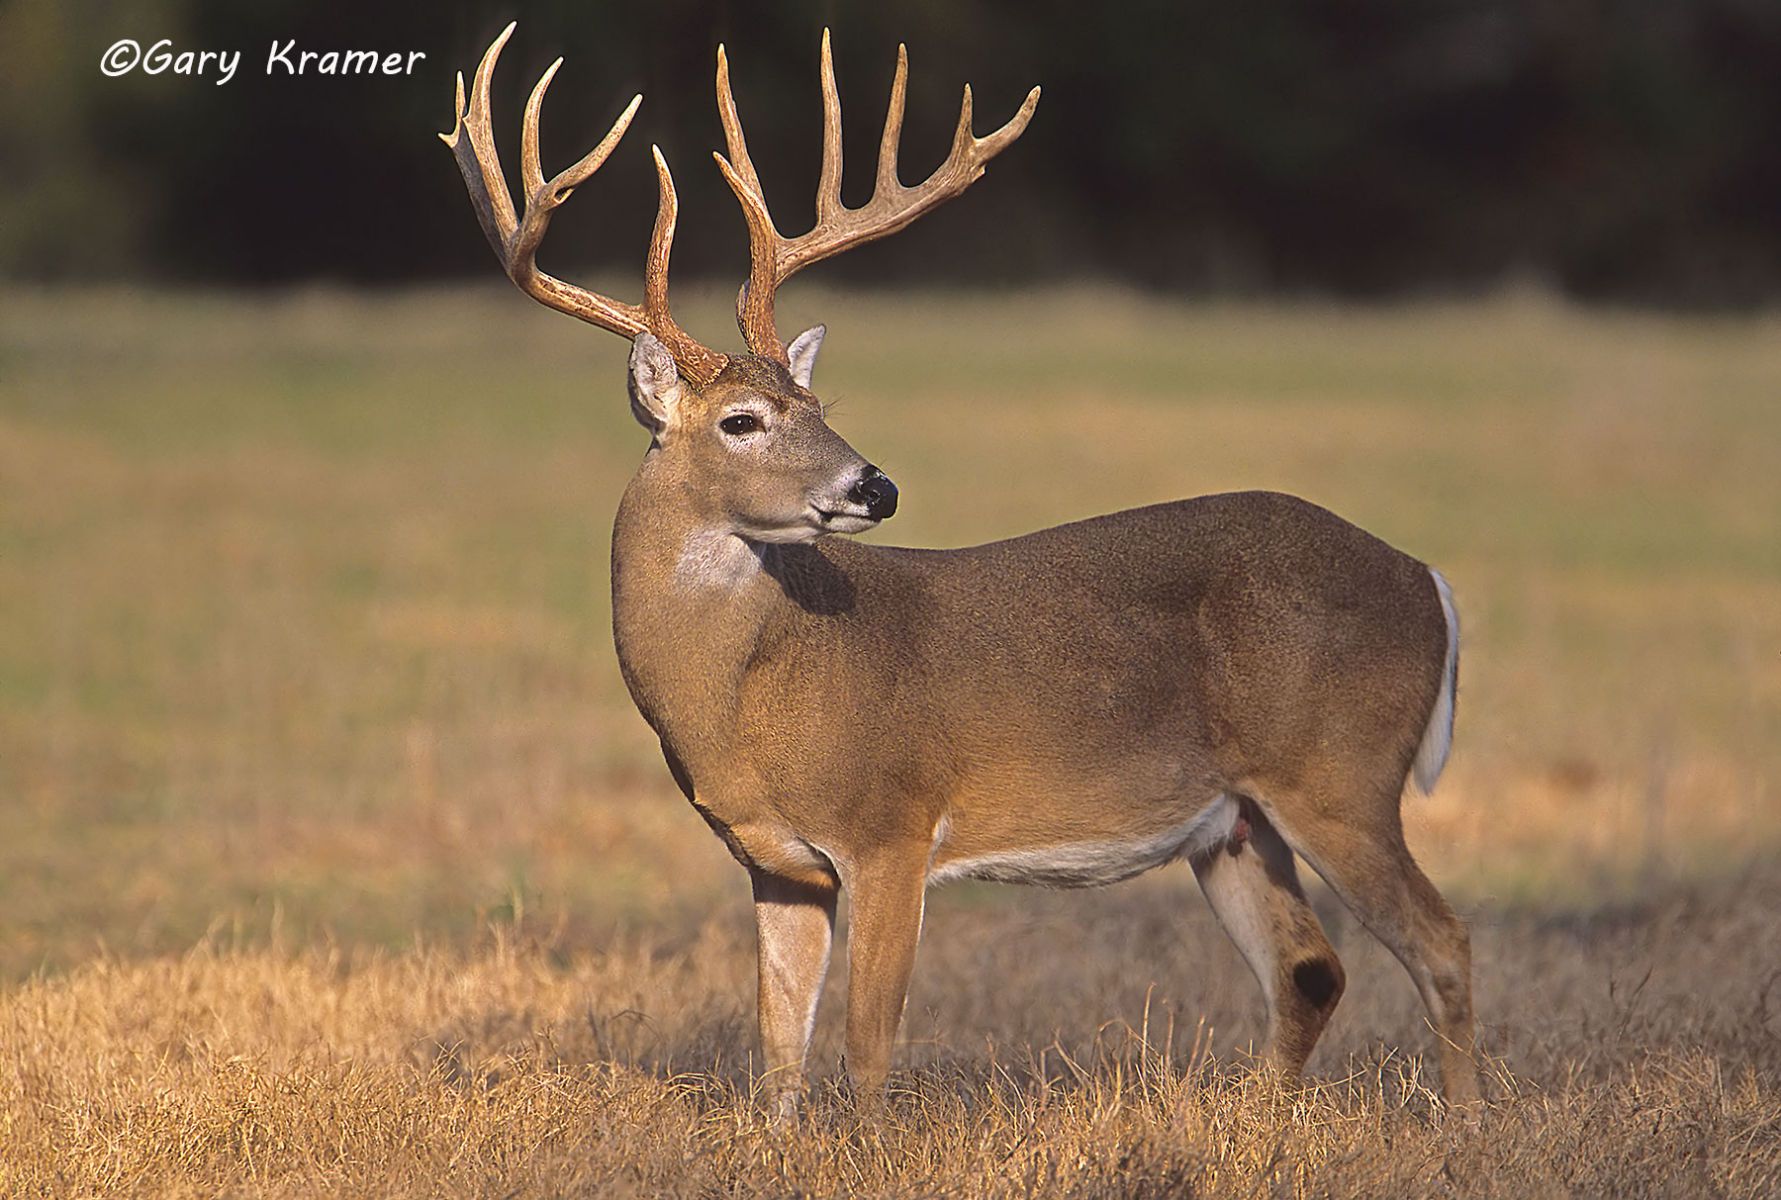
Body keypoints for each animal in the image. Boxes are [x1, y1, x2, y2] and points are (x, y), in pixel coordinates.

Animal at [441, 24, 1479, 1120]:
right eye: (743, 420)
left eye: (818, 405)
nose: (876, 484)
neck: (752, 692)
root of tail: (1425, 579)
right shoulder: (775, 861)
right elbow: (776, 1053)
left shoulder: (892, 824)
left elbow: (866, 1044)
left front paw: (869, 1144)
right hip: (1231, 820)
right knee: (1308, 969)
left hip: (1339, 772)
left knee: (1440, 942)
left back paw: (1463, 1125)